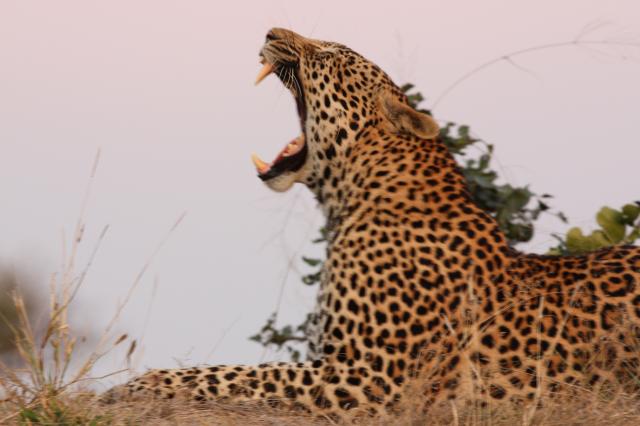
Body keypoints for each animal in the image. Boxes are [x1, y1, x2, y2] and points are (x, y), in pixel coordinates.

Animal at [102, 28, 640, 419]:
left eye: (329, 54)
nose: (271, 30)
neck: (349, 197)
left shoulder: (370, 378)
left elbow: (237, 374)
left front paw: (140, 384)